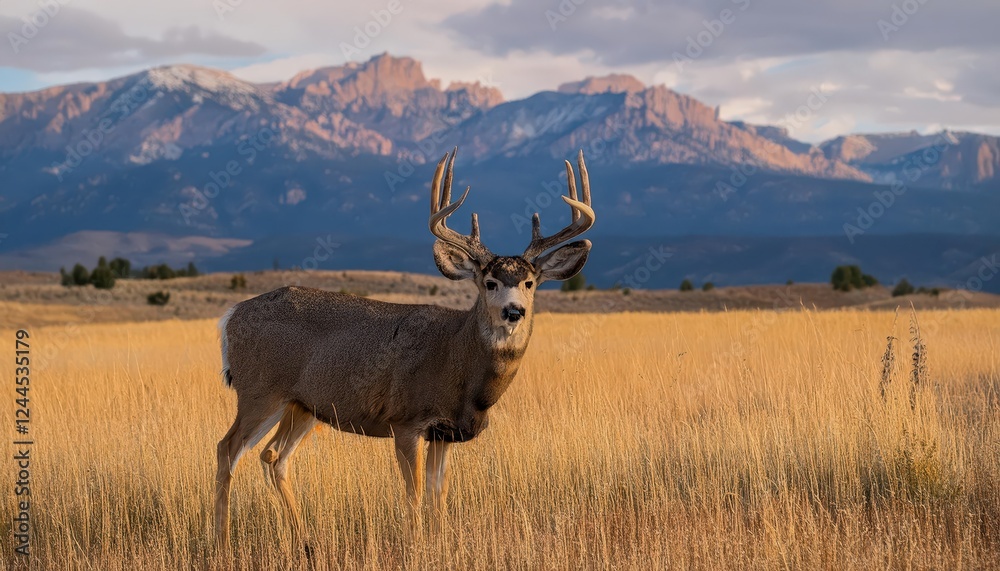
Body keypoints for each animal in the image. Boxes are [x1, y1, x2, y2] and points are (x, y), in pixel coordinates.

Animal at [214, 148, 596, 556]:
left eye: (529, 282)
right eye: (490, 282)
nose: (514, 311)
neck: (459, 364)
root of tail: (231, 316)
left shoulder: (445, 432)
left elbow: (438, 495)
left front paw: (441, 545)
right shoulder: (406, 420)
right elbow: (413, 496)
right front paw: (416, 547)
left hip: (303, 406)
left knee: (274, 456)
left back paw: (305, 542)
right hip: (259, 391)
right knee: (228, 448)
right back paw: (222, 543)